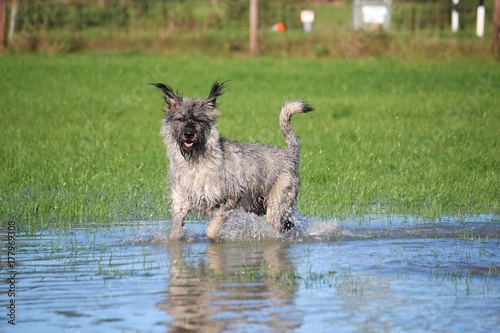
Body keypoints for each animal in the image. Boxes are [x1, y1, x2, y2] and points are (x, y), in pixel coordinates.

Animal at [151, 81, 312, 240]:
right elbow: (175, 230)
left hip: (276, 205)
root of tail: (290, 154)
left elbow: (211, 230)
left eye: (200, 120)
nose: (189, 133)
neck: (195, 161)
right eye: (181, 119)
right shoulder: (181, 203)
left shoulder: (228, 201)